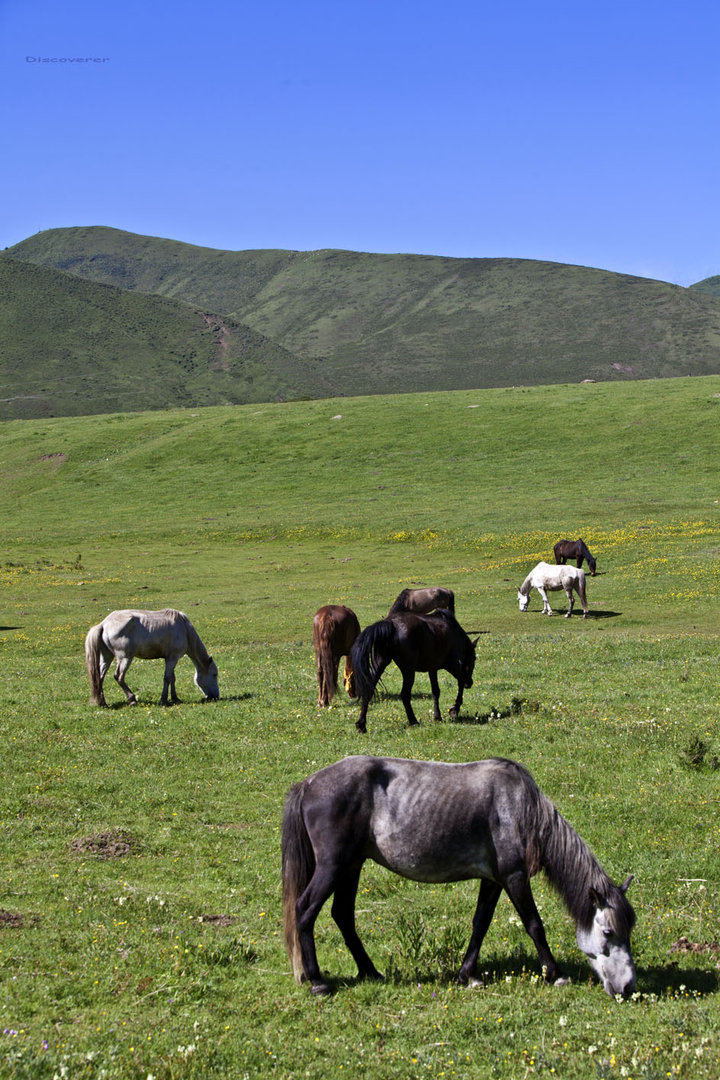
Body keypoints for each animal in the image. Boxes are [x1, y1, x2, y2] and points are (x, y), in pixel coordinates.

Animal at [85, 609, 220, 708]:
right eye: (214, 675)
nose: (216, 697)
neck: (185, 629)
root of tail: (104, 624)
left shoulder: (170, 659)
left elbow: (172, 678)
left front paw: (175, 698)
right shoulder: (173, 658)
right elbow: (167, 678)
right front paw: (164, 699)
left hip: (107, 657)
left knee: (100, 677)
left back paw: (103, 703)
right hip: (125, 658)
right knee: (119, 676)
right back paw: (132, 699)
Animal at [280, 756, 634, 997]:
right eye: (608, 932)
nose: (627, 986)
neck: (520, 808)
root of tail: (308, 784)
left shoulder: (493, 880)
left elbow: (480, 924)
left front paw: (469, 974)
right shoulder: (515, 877)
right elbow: (534, 924)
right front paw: (555, 973)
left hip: (351, 866)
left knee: (342, 915)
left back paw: (371, 972)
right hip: (333, 867)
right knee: (305, 910)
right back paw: (317, 981)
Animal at [349, 609, 479, 734]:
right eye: (474, 659)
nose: (470, 683)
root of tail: (391, 624)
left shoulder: (432, 668)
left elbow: (435, 691)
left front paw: (437, 717)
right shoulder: (452, 664)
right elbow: (460, 682)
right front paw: (454, 710)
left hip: (380, 664)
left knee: (368, 690)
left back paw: (361, 725)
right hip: (408, 671)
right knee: (405, 694)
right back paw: (413, 721)